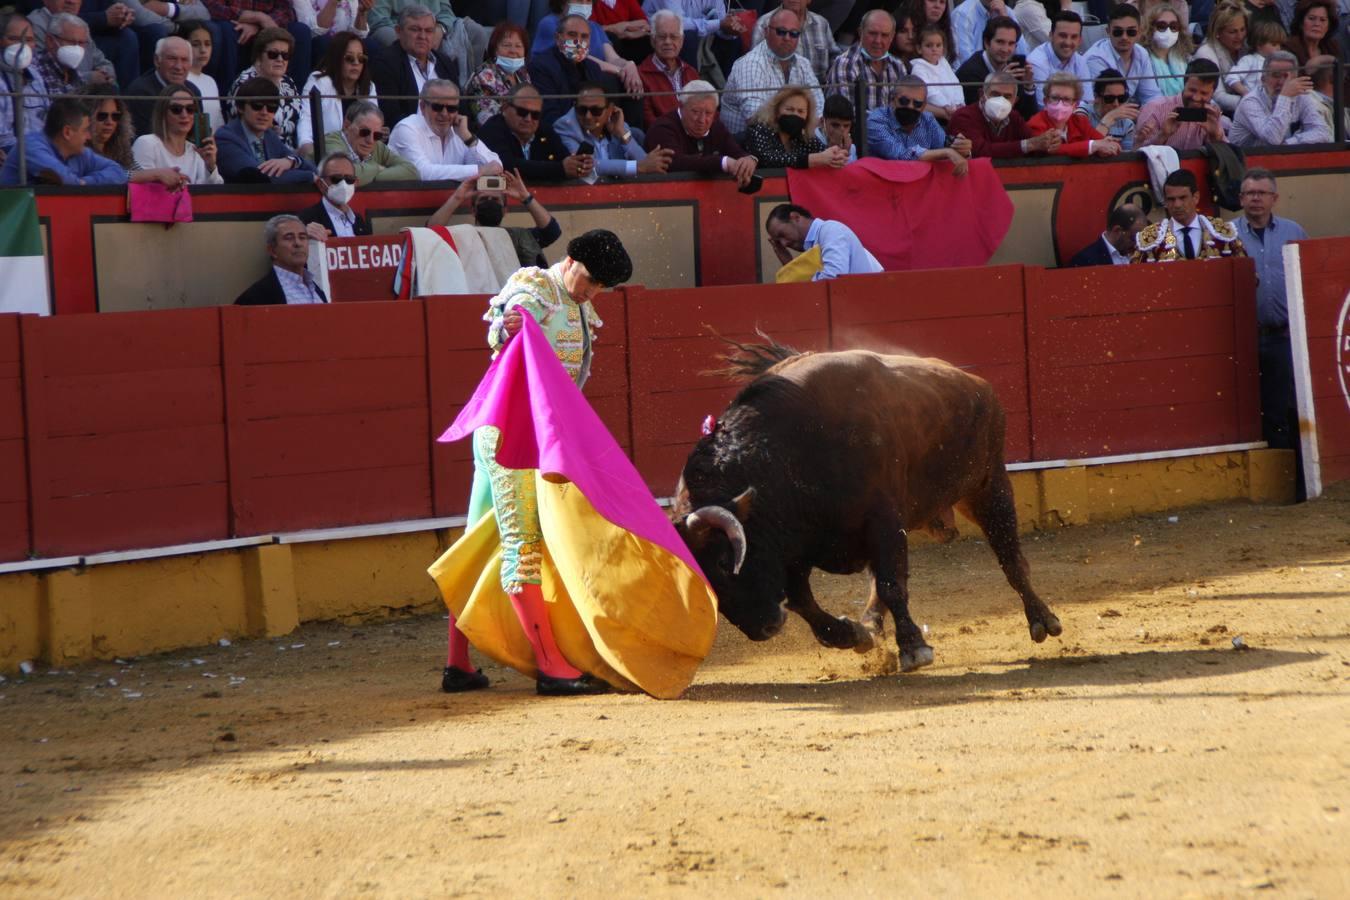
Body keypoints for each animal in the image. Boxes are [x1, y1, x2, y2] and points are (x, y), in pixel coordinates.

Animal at [669, 340, 1058, 674]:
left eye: (724, 562)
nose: (764, 628)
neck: (782, 455)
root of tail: (976, 383)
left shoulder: (882, 521)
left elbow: (890, 584)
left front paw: (914, 648)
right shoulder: (794, 545)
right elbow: (804, 600)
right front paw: (852, 634)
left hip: (988, 485)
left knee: (1010, 558)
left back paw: (1043, 619)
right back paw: (870, 623)